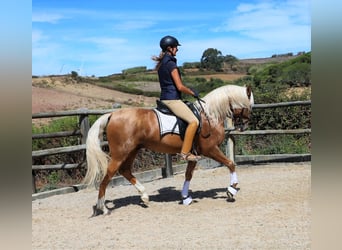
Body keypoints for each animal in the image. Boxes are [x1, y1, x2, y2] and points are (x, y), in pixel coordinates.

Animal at [83, 83, 254, 215]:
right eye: (250, 105)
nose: (245, 125)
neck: (209, 116)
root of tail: (112, 114)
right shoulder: (210, 149)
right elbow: (230, 164)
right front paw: (231, 190)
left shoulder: (194, 154)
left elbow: (188, 175)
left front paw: (185, 197)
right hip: (120, 153)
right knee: (106, 178)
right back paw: (103, 208)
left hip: (132, 150)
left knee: (125, 171)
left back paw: (144, 197)